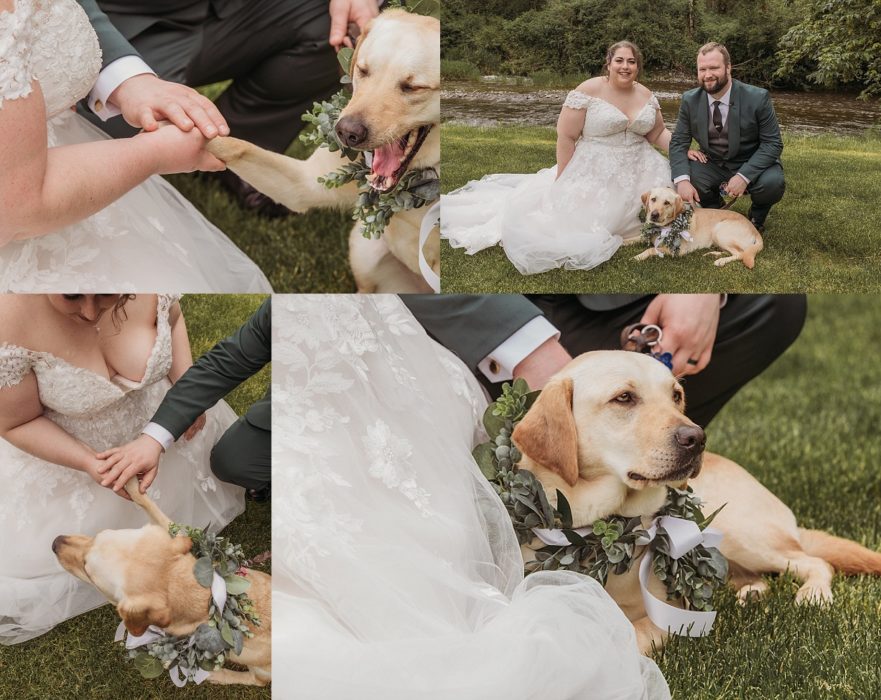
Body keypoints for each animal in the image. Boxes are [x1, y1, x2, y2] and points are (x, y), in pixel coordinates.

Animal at [53, 478, 270, 688]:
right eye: (96, 536)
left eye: (87, 570)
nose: (55, 542)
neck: (205, 593)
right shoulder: (179, 537)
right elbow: (148, 503)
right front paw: (130, 478)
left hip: (257, 667)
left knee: (257, 681)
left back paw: (219, 675)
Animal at [206, 11, 440, 296]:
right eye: (363, 71)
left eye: (413, 87)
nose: (346, 132)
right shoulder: (303, 184)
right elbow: (234, 145)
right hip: (364, 250)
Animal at [512, 352, 880, 652]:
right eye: (624, 397)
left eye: (676, 395)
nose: (697, 438)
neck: (599, 532)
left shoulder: (669, 614)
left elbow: (628, 635)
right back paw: (751, 593)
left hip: (743, 534)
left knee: (816, 562)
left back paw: (813, 595)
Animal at [632, 186, 764, 268]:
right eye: (653, 199)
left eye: (667, 203)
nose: (654, 215)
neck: (661, 227)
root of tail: (755, 229)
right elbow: (632, 239)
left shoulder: (678, 251)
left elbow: (651, 249)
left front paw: (637, 257)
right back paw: (712, 253)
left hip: (720, 230)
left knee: (740, 254)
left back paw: (720, 261)